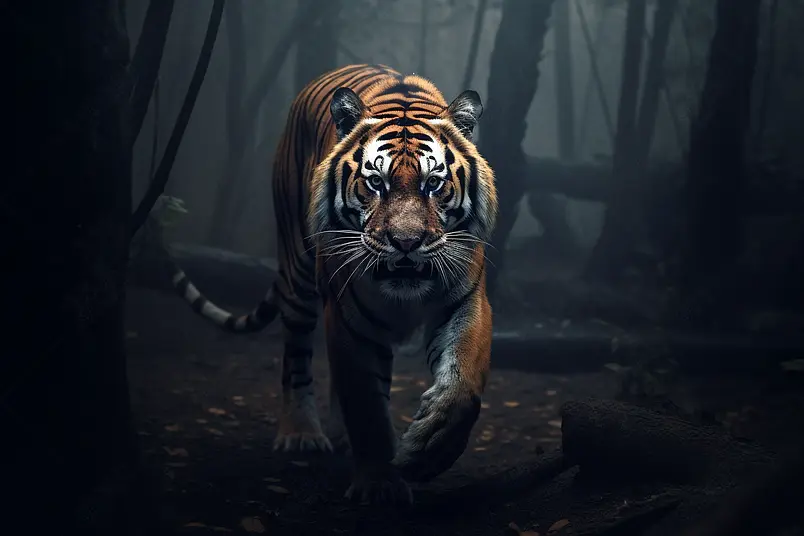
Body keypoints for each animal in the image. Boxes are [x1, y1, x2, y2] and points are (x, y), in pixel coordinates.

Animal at [169, 64, 497, 504]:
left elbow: (463, 385)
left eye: (433, 183)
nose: (406, 242)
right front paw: (379, 483)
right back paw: (302, 434)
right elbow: (365, 404)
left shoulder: (466, 302)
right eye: (376, 183)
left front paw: (428, 451)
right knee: (297, 359)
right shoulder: (347, 314)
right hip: (298, 276)